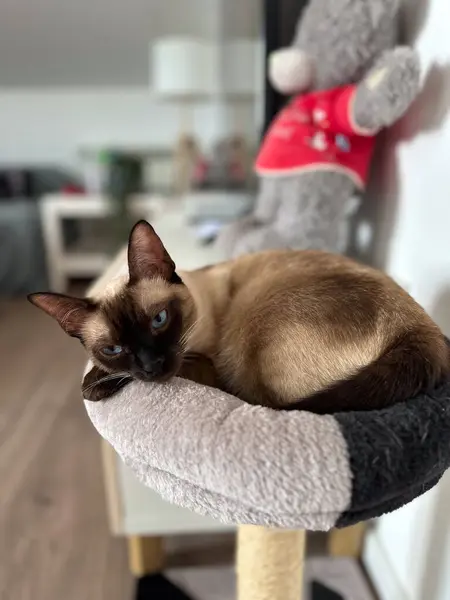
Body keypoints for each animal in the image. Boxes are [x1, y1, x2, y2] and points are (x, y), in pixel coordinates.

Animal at [29, 220, 450, 412]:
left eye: (159, 320)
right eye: (114, 349)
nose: (151, 366)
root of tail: (421, 329)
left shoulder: (204, 364)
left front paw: (95, 387)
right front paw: (100, 380)